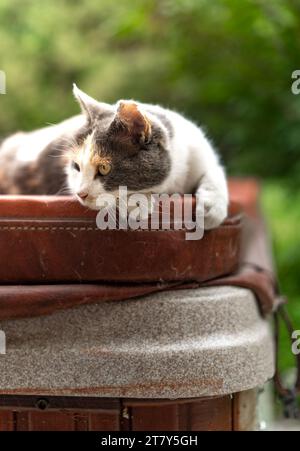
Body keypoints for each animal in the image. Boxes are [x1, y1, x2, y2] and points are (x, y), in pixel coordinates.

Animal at [0, 85, 227, 230]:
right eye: (76, 166)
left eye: (104, 168)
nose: (81, 194)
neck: (174, 182)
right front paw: (135, 204)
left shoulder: (199, 151)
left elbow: (215, 173)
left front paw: (211, 210)